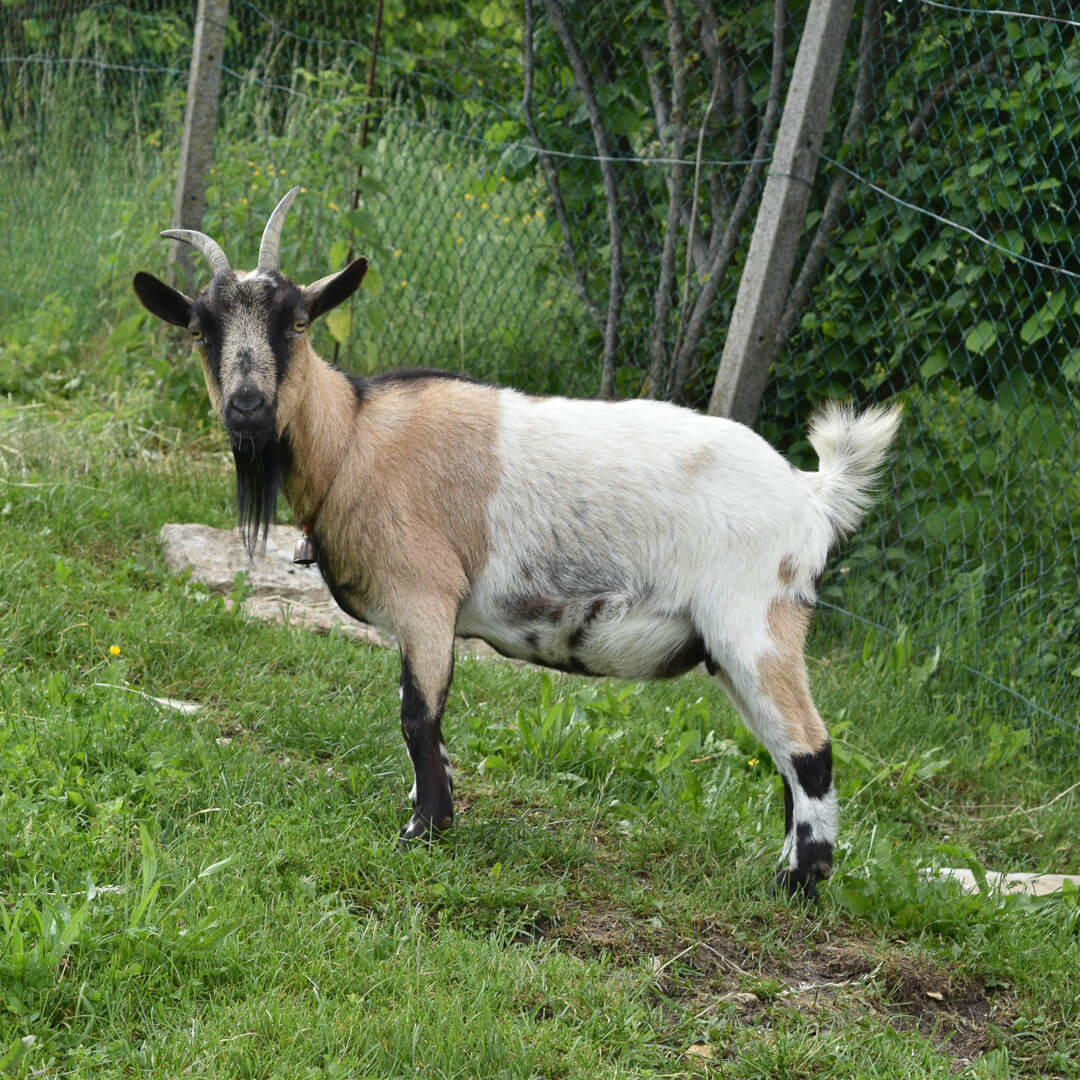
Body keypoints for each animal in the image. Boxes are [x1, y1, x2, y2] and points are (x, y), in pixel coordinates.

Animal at [135, 185, 898, 894]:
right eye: (201, 329)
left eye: (297, 321)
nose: (248, 407)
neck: (352, 437)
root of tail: (811, 493)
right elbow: (432, 723)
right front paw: (431, 808)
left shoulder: (425, 596)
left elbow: (417, 715)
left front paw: (423, 831)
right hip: (733, 642)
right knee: (784, 751)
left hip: (756, 620)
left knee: (809, 748)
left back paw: (797, 886)